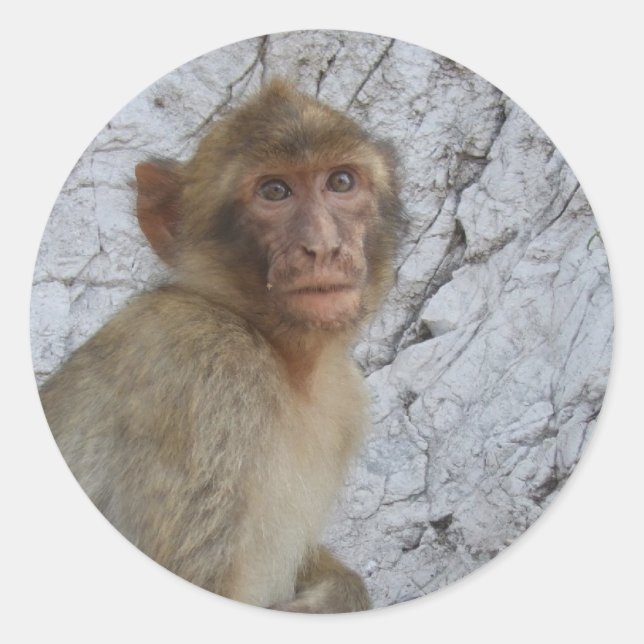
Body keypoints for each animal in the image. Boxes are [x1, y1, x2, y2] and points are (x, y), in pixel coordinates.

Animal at [39, 79, 404, 613]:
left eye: (340, 182)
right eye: (274, 191)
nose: (323, 247)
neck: (278, 352)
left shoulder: (344, 396)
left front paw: (340, 589)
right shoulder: (203, 369)